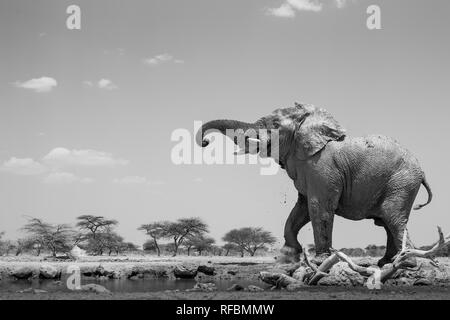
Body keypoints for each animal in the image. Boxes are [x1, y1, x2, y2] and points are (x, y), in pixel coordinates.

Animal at [197, 103, 432, 268]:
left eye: (275, 126)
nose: (205, 142)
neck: (307, 125)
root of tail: (422, 172)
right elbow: (300, 209)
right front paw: (288, 256)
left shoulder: (322, 167)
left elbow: (319, 207)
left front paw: (319, 262)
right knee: (386, 222)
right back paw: (387, 262)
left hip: (401, 183)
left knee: (393, 217)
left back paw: (406, 263)